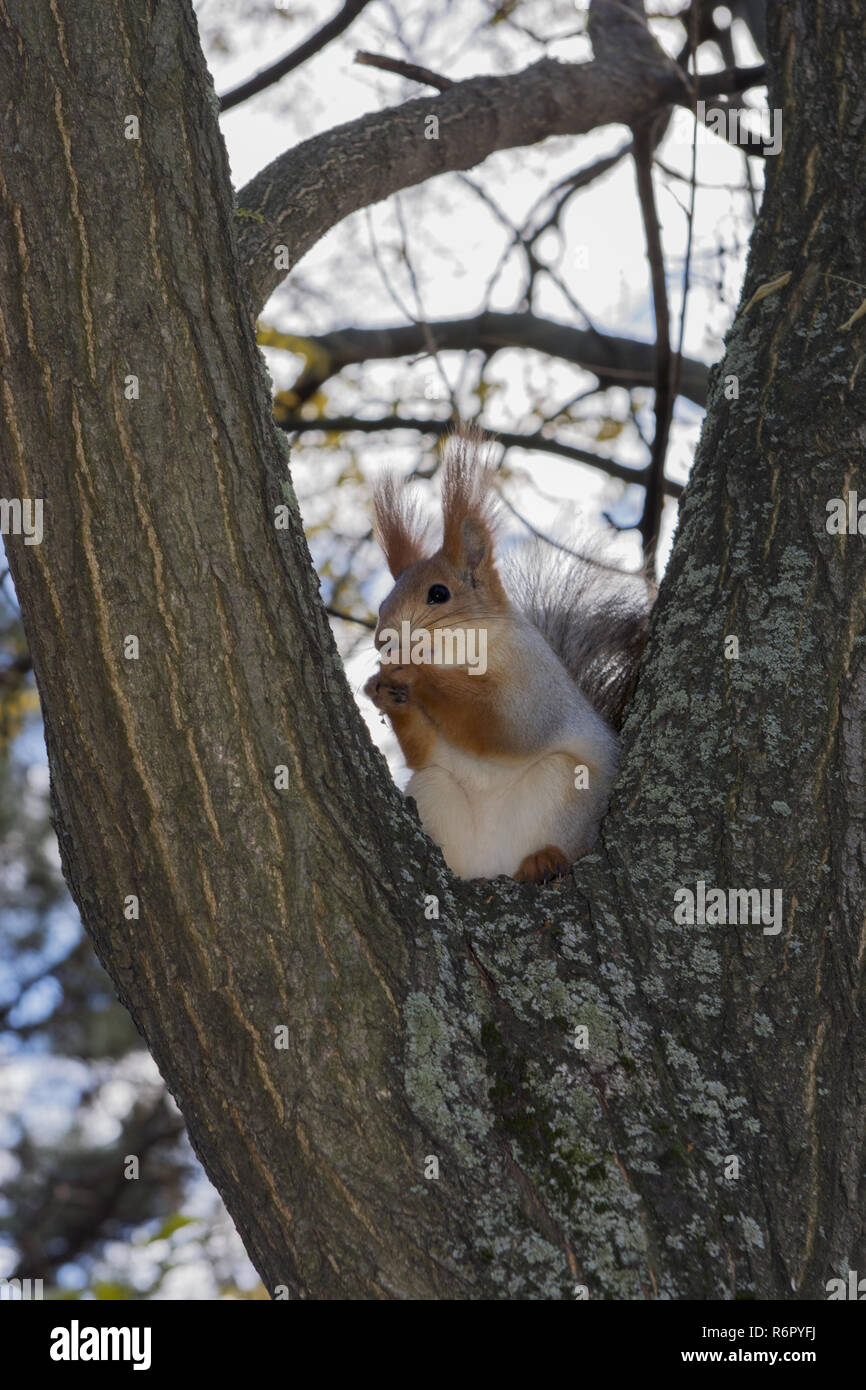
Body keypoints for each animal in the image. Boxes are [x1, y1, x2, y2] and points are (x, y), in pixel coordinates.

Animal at [361, 425, 650, 878]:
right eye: (382, 603)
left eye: (438, 594)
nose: (384, 640)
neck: (458, 659)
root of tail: (494, 864)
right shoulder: (433, 751)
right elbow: (424, 751)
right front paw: (382, 690)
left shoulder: (532, 681)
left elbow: (502, 723)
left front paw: (414, 672)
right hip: (435, 790)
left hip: (564, 786)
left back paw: (544, 860)